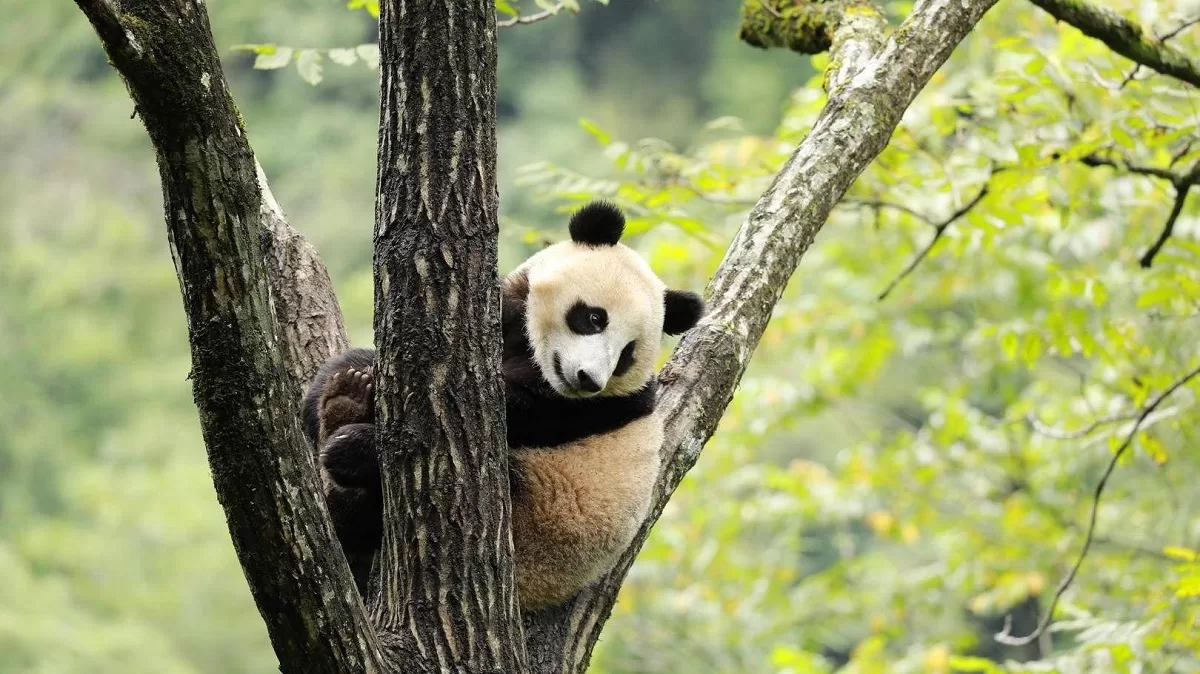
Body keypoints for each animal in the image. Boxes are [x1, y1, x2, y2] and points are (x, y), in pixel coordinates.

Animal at [301, 200, 705, 611]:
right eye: (594, 318)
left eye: (626, 354)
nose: (588, 379)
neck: (537, 360)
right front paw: (340, 387)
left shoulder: (583, 410)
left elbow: (499, 415)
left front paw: (357, 427)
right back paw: (344, 402)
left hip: (541, 515)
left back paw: (350, 448)